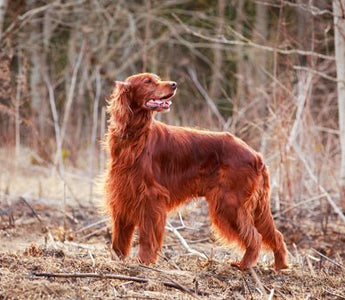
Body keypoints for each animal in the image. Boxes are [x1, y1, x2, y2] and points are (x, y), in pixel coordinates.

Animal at [104, 72, 288, 270]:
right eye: (147, 81)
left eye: (156, 79)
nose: (174, 84)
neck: (134, 137)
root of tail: (256, 155)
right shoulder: (122, 194)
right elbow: (119, 237)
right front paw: (117, 260)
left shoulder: (150, 197)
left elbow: (147, 235)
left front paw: (143, 261)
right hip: (251, 207)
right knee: (276, 235)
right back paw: (280, 265)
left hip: (230, 203)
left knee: (255, 237)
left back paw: (243, 265)